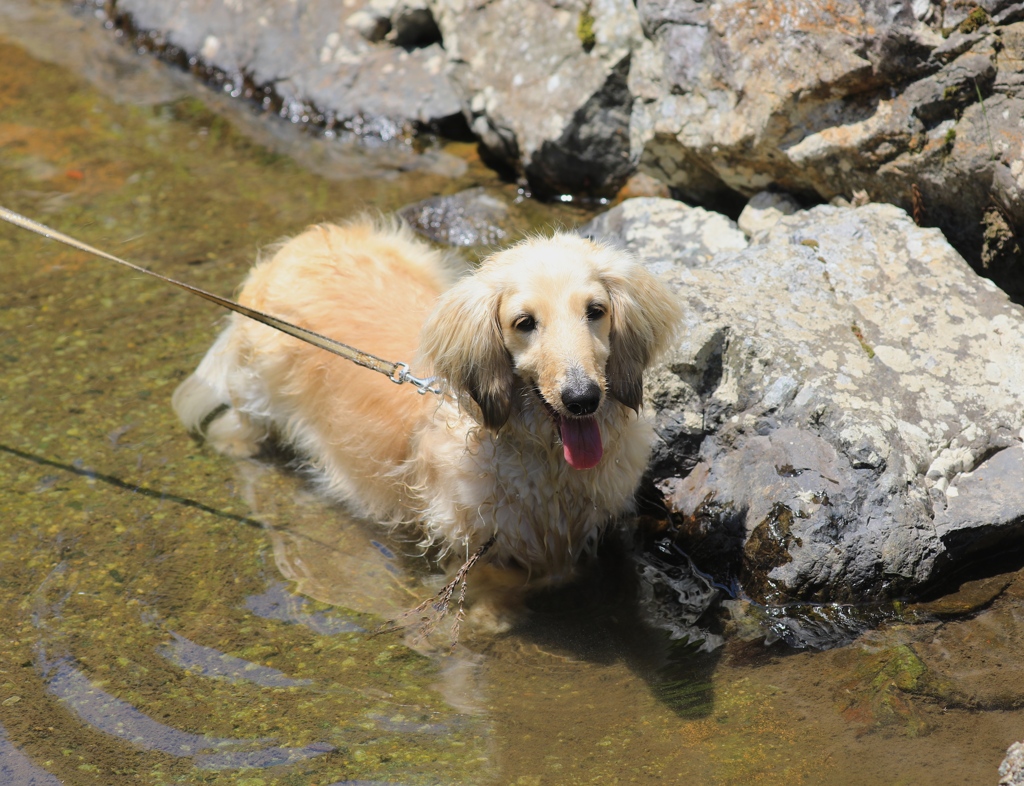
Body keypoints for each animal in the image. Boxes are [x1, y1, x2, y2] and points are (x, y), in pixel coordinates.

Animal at [172, 217, 684, 622]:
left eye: (596, 311)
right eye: (524, 322)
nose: (583, 399)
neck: (545, 458)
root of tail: (298, 247)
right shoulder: (472, 538)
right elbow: (506, 580)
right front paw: (490, 616)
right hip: (256, 393)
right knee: (231, 429)